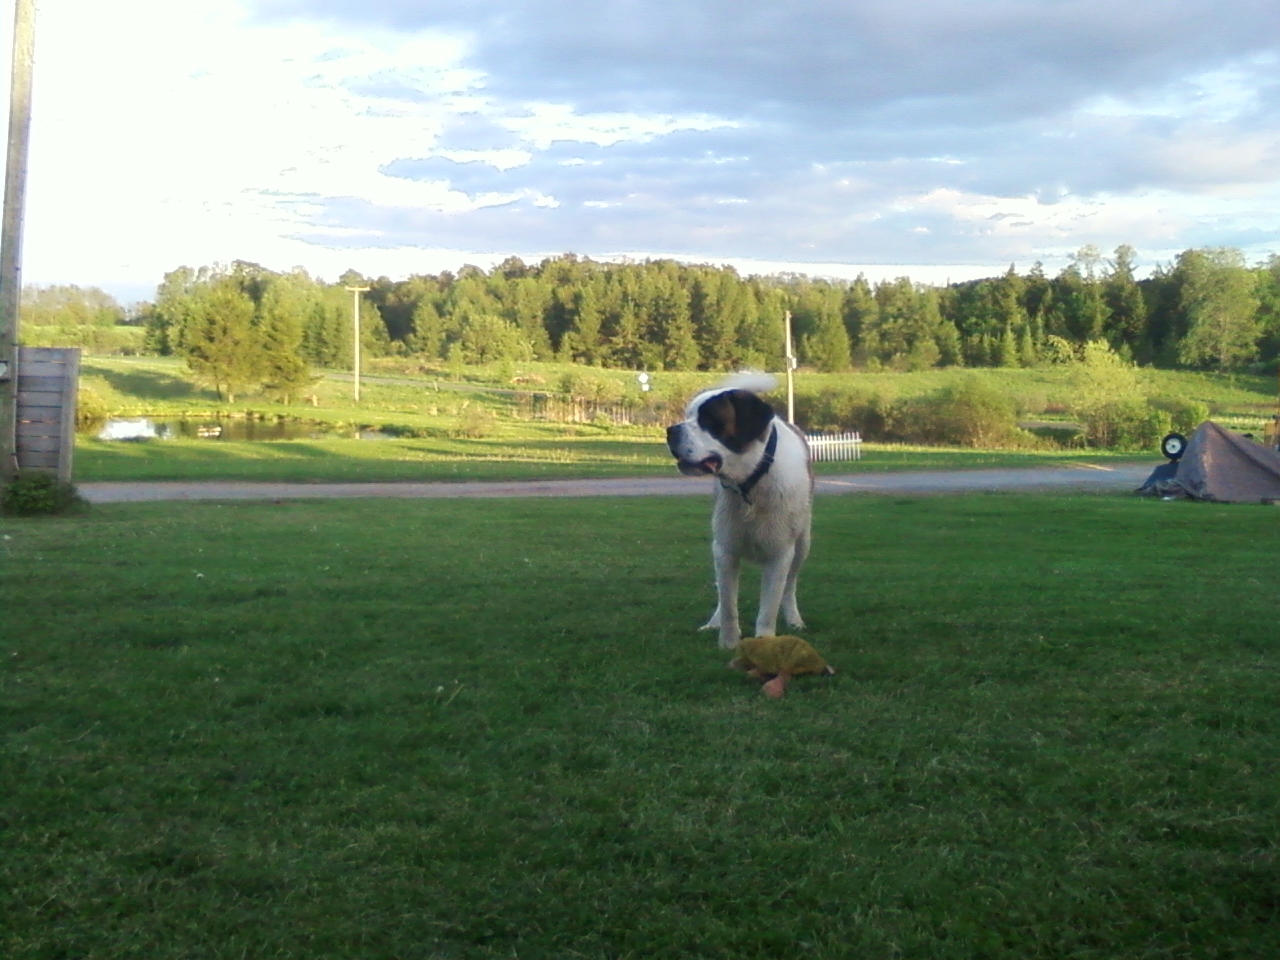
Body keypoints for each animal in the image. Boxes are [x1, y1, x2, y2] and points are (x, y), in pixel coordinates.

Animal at [665, 371, 814, 650]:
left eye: (709, 420)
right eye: (688, 415)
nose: (670, 430)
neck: (751, 482)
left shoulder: (780, 554)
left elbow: (769, 605)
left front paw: (765, 641)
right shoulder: (724, 549)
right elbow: (728, 604)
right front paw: (728, 642)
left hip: (803, 543)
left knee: (790, 585)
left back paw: (794, 618)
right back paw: (713, 622)